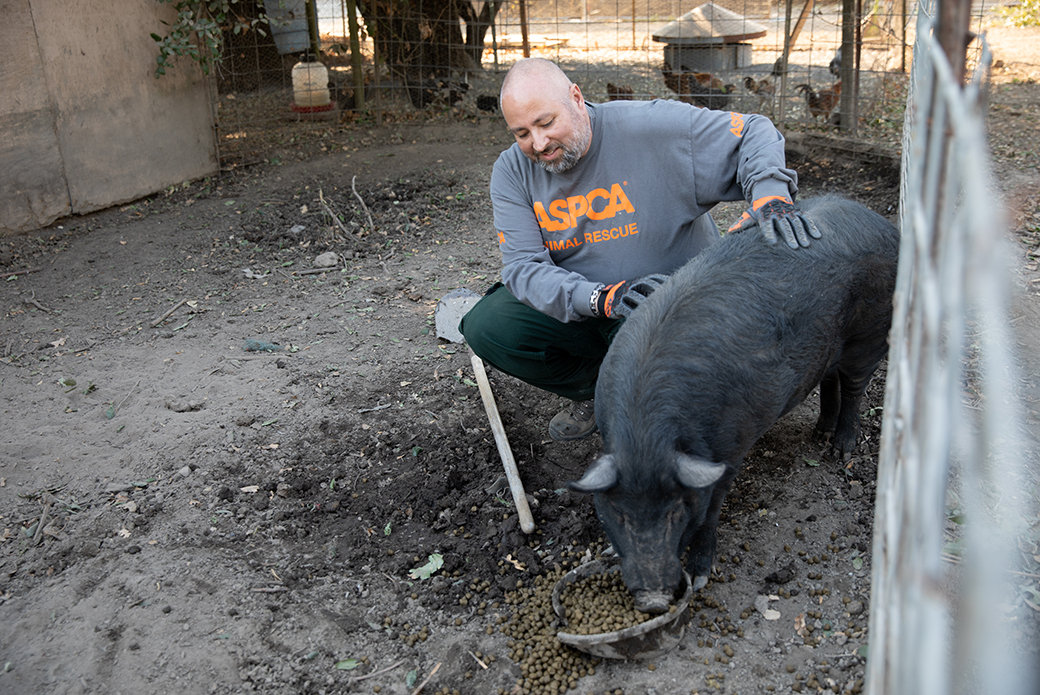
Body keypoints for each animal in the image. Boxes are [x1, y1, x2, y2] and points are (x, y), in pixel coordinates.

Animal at [565, 195, 898, 611]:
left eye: (675, 511)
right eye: (621, 515)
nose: (654, 600)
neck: (645, 439)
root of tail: (882, 224)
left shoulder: (730, 447)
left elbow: (711, 509)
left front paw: (701, 576)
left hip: (870, 334)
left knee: (854, 389)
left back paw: (839, 450)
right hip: (829, 348)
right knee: (830, 380)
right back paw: (819, 436)